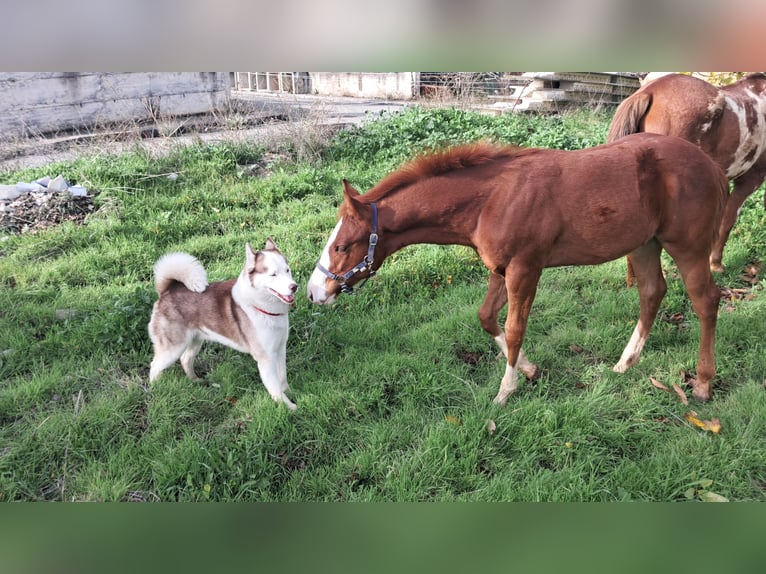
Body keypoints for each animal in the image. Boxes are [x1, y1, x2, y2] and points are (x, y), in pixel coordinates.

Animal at [307, 134, 728, 404]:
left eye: (342, 246)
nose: (312, 292)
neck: (491, 200)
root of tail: (711, 165)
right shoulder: (500, 268)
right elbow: (486, 317)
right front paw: (530, 369)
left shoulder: (525, 269)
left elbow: (513, 328)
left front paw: (505, 392)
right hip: (644, 243)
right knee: (652, 292)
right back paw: (625, 363)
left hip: (687, 247)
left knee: (706, 300)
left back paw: (703, 384)